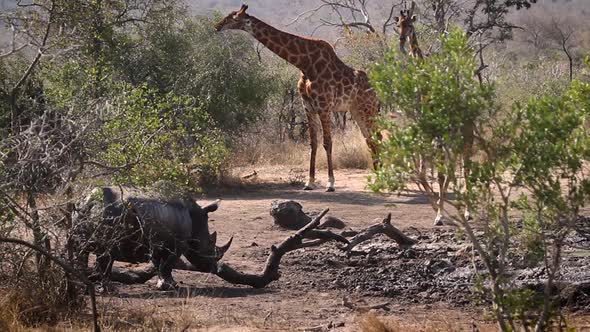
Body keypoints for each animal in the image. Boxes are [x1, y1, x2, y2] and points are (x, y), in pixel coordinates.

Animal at [215, 4, 382, 192]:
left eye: (232, 17)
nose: (217, 26)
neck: (305, 64)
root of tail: (377, 92)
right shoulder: (308, 107)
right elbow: (313, 143)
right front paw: (309, 182)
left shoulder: (324, 106)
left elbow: (327, 142)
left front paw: (330, 183)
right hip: (356, 111)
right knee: (370, 139)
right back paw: (377, 176)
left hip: (368, 109)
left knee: (377, 137)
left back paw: (383, 176)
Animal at [396, 1, 474, 226]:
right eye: (398, 24)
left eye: (410, 25)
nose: (402, 42)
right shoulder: (430, 140)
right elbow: (426, 173)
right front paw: (437, 212)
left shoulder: (439, 140)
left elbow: (439, 175)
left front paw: (440, 214)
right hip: (453, 144)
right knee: (453, 171)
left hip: (466, 140)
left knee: (465, 170)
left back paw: (468, 212)